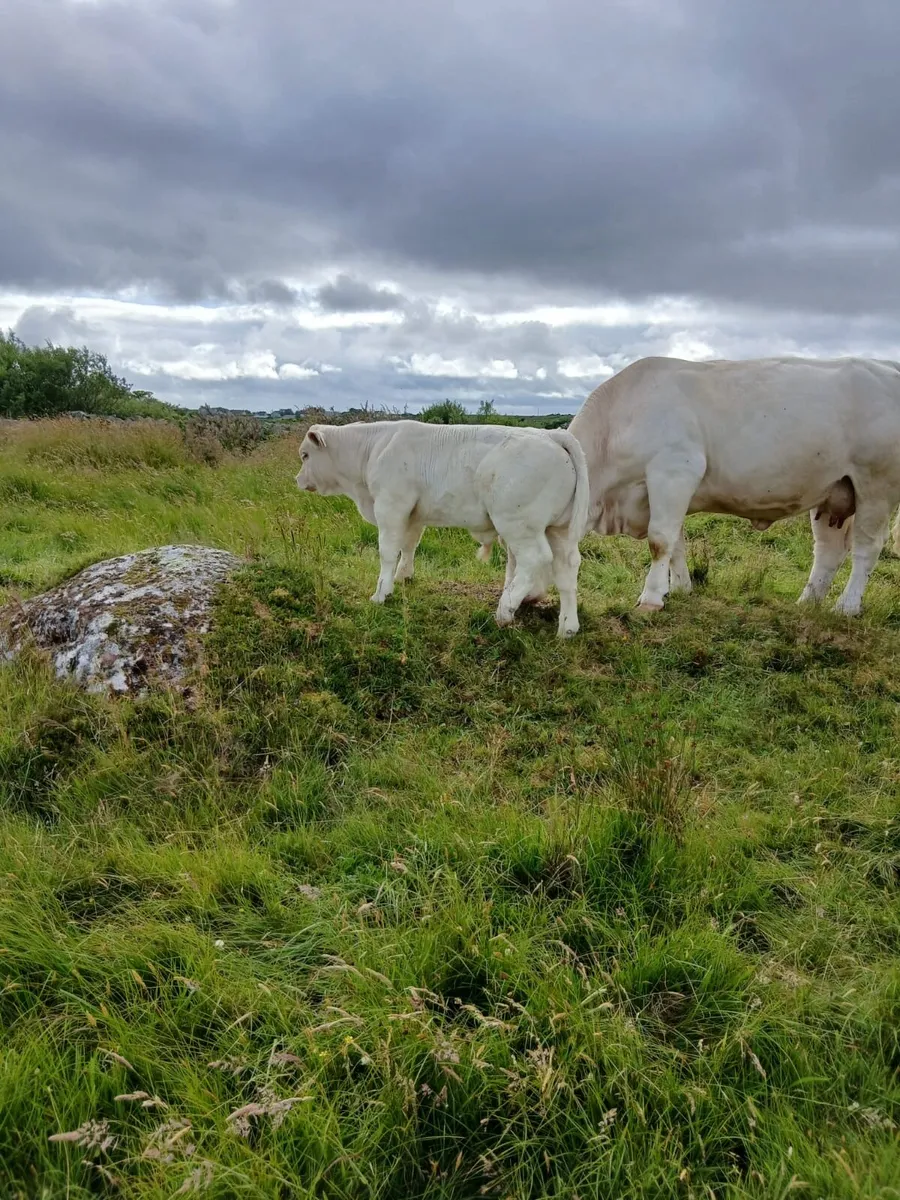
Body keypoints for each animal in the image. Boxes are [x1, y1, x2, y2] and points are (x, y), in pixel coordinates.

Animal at [295, 420, 590, 636]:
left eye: (305, 455)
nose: (297, 480)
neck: (374, 448)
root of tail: (551, 435)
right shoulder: (413, 515)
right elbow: (408, 545)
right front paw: (404, 577)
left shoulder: (391, 507)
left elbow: (388, 552)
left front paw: (381, 593)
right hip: (559, 530)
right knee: (567, 568)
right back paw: (567, 627)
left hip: (519, 525)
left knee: (535, 559)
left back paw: (505, 610)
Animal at [566, 356, 900, 615]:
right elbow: (676, 543)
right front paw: (681, 589)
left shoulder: (674, 470)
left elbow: (660, 540)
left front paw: (651, 599)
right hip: (834, 490)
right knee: (829, 549)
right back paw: (807, 603)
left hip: (876, 487)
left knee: (868, 547)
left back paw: (846, 607)